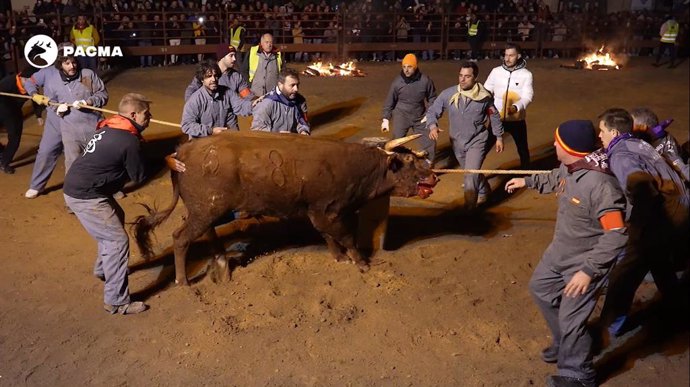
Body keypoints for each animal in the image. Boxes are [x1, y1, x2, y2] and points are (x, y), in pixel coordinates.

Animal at [134, 131, 436, 284]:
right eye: (410, 162)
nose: (434, 176)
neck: (358, 167)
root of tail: (180, 153)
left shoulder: (321, 212)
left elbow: (329, 236)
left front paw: (339, 257)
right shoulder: (326, 211)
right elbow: (346, 236)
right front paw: (361, 263)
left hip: (205, 210)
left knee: (203, 232)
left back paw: (221, 263)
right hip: (205, 210)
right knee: (180, 238)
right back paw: (183, 281)